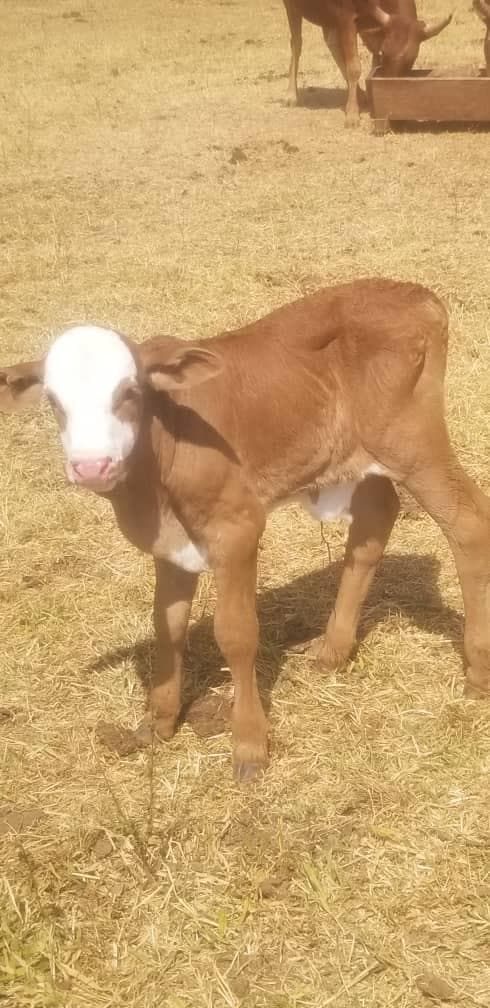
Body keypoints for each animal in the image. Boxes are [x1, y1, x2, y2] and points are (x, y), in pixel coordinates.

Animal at [1, 280, 490, 781]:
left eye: (129, 392)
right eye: (54, 403)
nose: (91, 465)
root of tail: (415, 294)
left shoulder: (237, 528)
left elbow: (235, 633)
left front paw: (250, 743)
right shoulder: (169, 543)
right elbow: (167, 625)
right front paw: (159, 722)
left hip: (411, 441)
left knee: (468, 521)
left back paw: (476, 671)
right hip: (363, 453)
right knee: (376, 518)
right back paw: (332, 650)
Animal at [282, 0, 452, 126]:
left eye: (411, 59)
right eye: (385, 51)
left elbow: (372, 64)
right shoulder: (346, 18)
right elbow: (354, 67)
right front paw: (352, 115)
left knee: (332, 43)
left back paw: (360, 94)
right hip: (292, 7)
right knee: (296, 43)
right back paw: (291, 95)